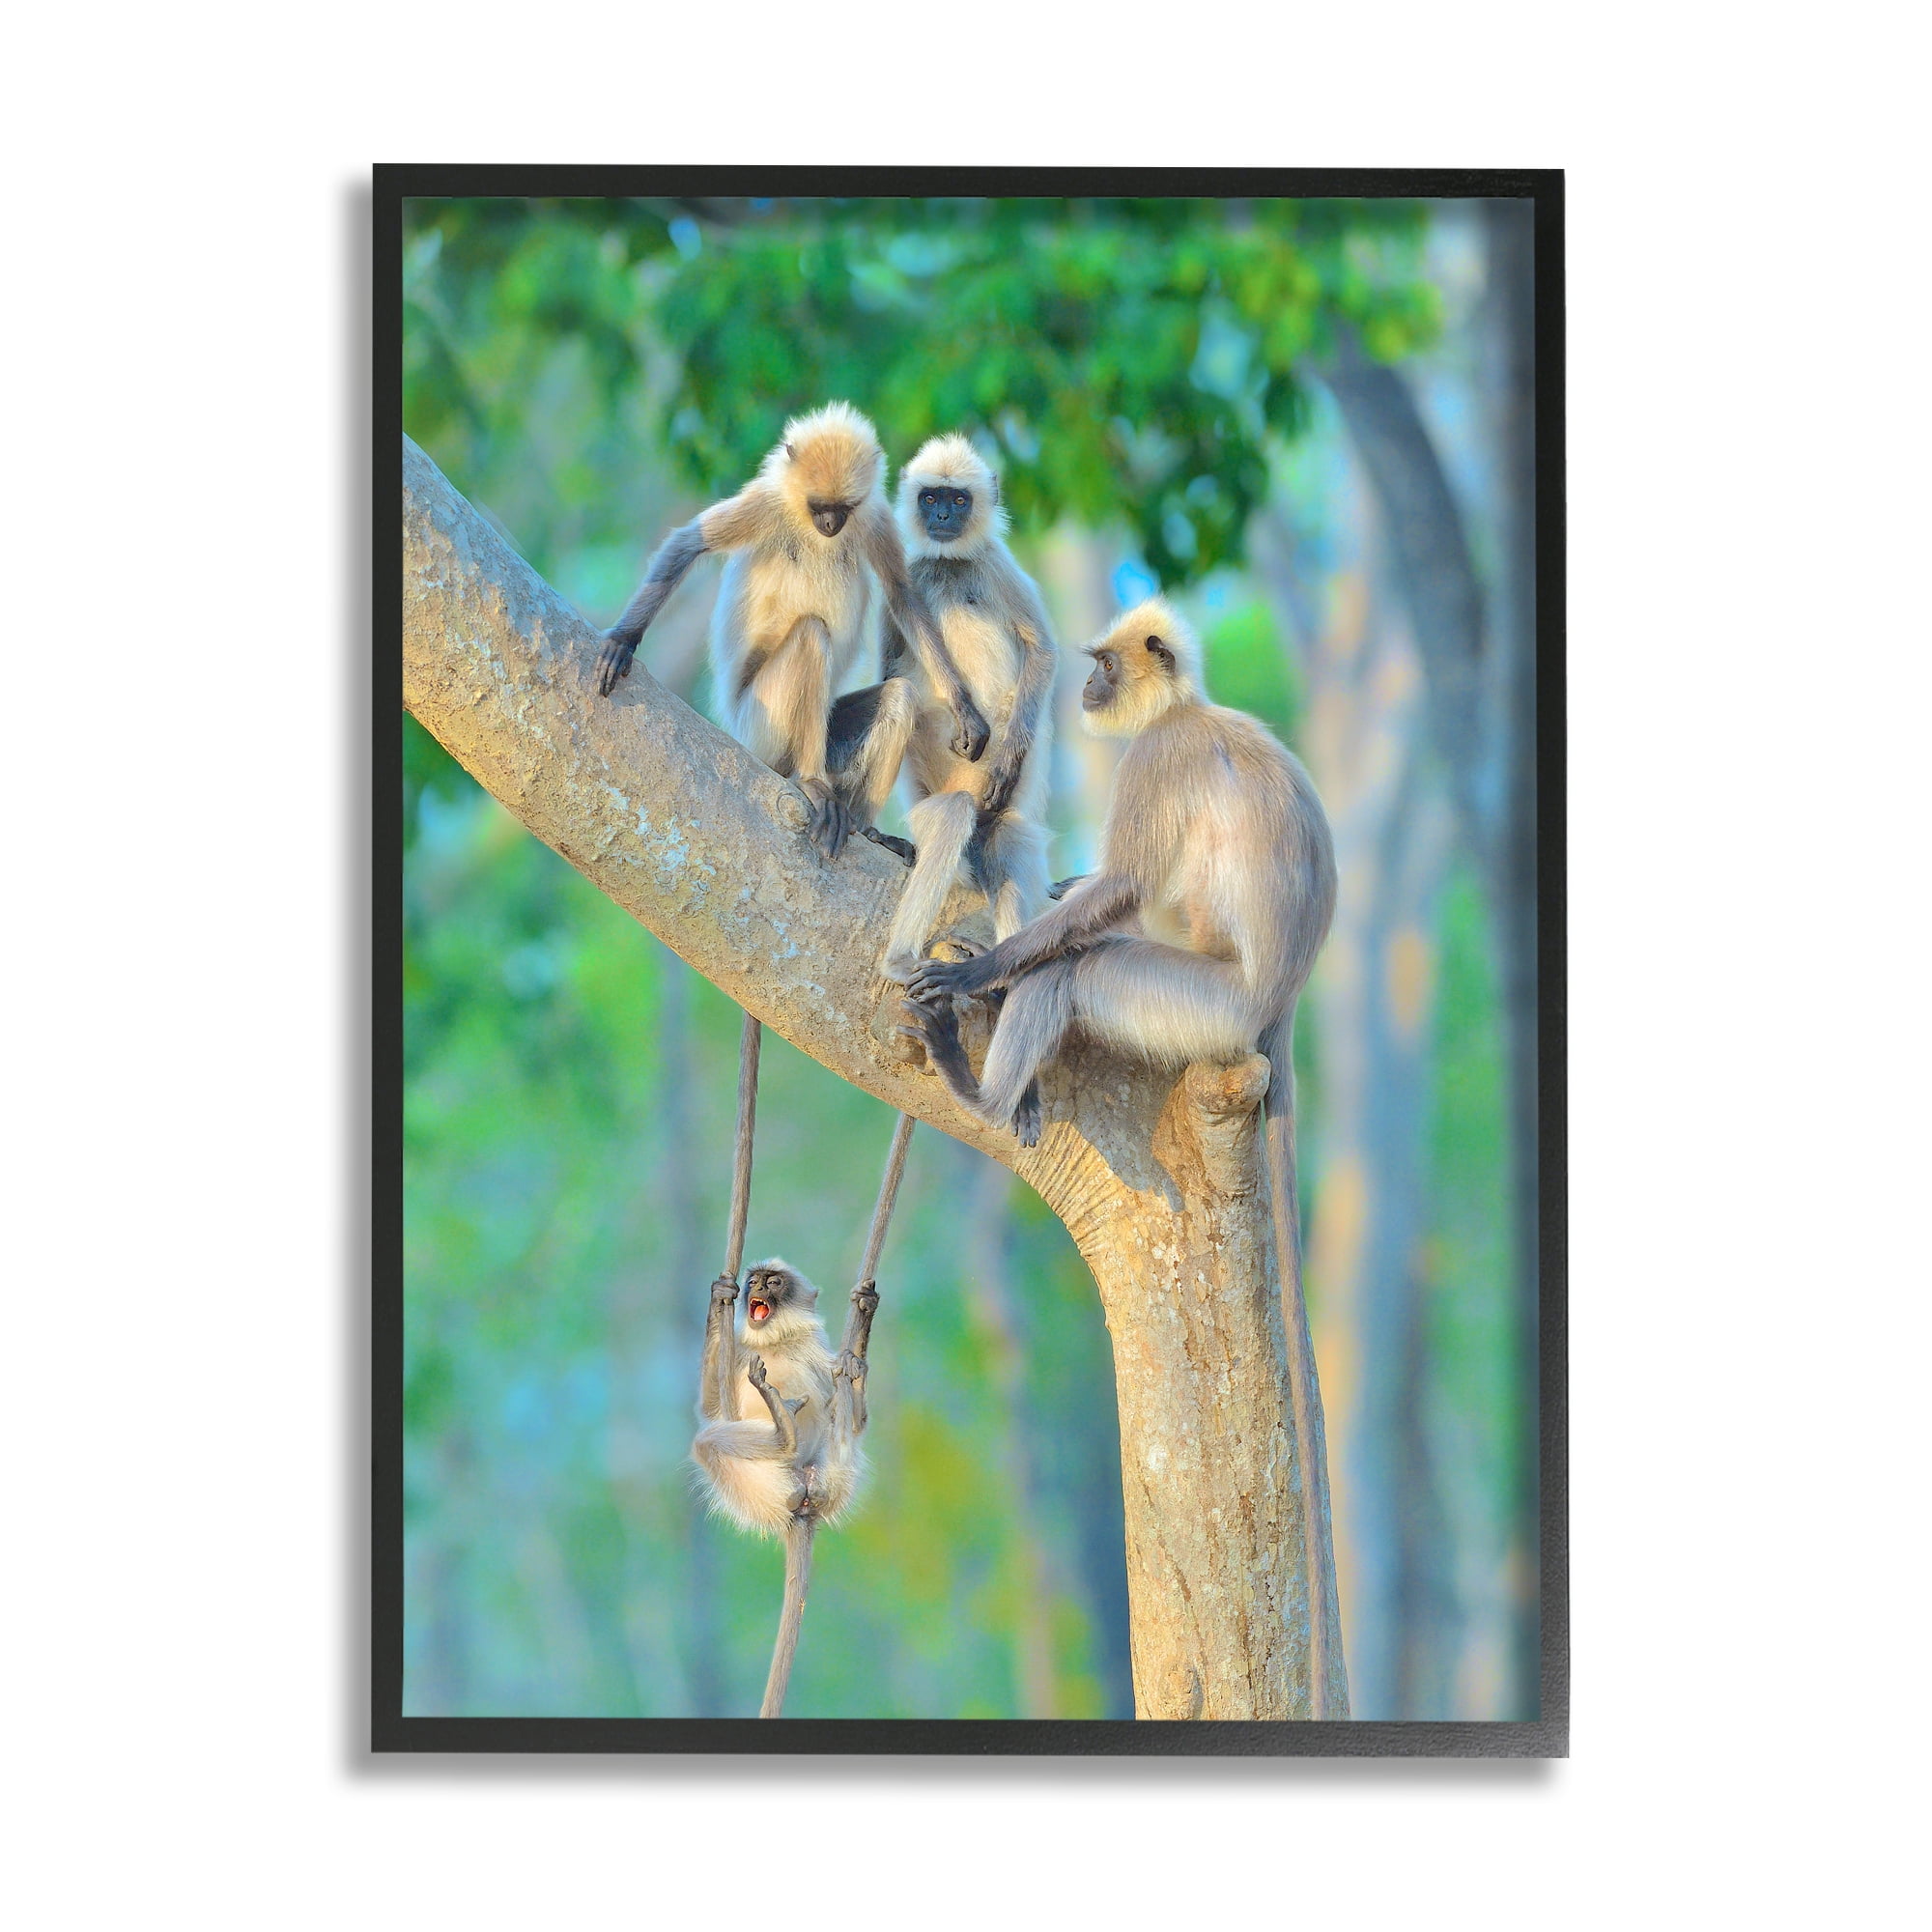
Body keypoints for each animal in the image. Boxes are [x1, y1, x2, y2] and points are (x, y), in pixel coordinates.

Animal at [593, 402, 990, 860]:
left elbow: (903, 595)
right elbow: (688, 544)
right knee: (812, 635)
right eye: (818, 507)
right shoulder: (767, 501)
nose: (831, 524)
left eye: (844, 508)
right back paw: (811, 782)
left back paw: (866, 827)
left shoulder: (873, 515)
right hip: (760, 725)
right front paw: (623, 640)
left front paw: (965, 708)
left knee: (900, 695)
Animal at [691, 1259, 879, 1719]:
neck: (775, 1343)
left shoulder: (816, 1351)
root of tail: (802, 1503)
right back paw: (782, 1431)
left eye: (774, 1282)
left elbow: (858, 1421)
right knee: (710, 1443)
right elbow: (711, 1408)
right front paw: (720, 1295)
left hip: (832, 1474)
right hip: (758, 1488)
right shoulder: (743, 1355)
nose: (756, 1287)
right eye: (754, 1280)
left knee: (842, 1428)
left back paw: (794, 1423)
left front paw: (863, 1321)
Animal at [876, 433, 1057, 982]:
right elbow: (890, 673)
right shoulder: (908, 576)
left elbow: (1042, 651)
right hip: (936, 810)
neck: (950, 564)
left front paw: (1007, 758)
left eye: (959, 500)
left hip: (998, 816)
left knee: (1008, 842)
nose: (941, 518)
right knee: (953, 816)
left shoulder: (996, 563)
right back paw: (899, 959)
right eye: (931, 498)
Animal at [902, 596, 1342, 1714]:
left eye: (1103, 665)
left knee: (1085, 969)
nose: (1092, 687)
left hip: (1196, 1005)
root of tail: (1277, 1007)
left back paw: (982, 1082)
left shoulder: (1157, 757)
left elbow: (1125, 890)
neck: (1187, 708)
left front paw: (975, 968)